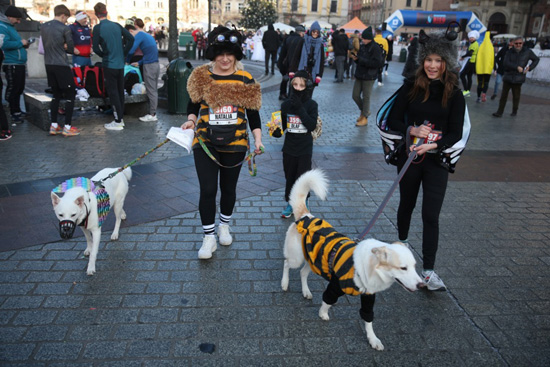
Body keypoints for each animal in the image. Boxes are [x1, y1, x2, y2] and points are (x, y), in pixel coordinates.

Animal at [282, 170, 424, 350]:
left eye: (414, 266)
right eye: (403, 268)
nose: (421, 285)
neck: (369, 270)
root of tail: (306, 216)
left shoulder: (369, 297)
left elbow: (368, 319)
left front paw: (373, 339)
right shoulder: (335, 286)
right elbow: (327, 301)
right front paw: (323, 314)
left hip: (314, 261)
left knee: (302, 273)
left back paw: (306, 291)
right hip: (297, 257)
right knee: (287, 263)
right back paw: (284, 283)